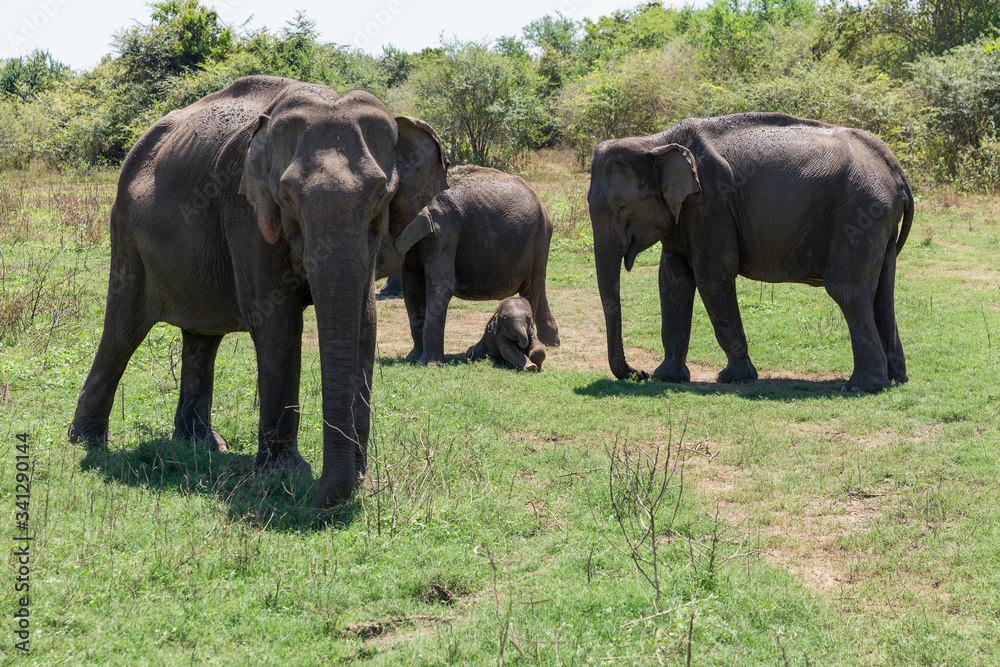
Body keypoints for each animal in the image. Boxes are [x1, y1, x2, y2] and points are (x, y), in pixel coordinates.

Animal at [67, 75, 448, 507]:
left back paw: (201, 445)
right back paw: (89, 441)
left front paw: (359, 476)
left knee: (201, 337)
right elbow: (277, 322)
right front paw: (286, 475)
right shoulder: (246, 210)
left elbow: (364, 325)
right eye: (287, 197)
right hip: (126, 231)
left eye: (381, 196)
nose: (315, 502)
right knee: (123, 330)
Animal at [375, 165, 560, 365]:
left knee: (530, 288)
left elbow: (441, 287)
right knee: (538, 285)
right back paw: (551, 342)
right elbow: (412, 288)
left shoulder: (443, 231)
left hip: (540, 236)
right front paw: (414, 357)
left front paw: (428, 364)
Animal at [588, 112, 913, 393]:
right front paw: (666, 377)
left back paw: (861, 387)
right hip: (879, 220)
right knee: (882, 293)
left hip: (861, 211)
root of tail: (895, 170)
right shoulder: (684, 213)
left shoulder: (710, 203)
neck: (656, 142)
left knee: (847, 290)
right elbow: (673, 279)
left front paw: (733, 378)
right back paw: (896, 379)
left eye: (622, 207)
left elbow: (713, 275)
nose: (638, 373)